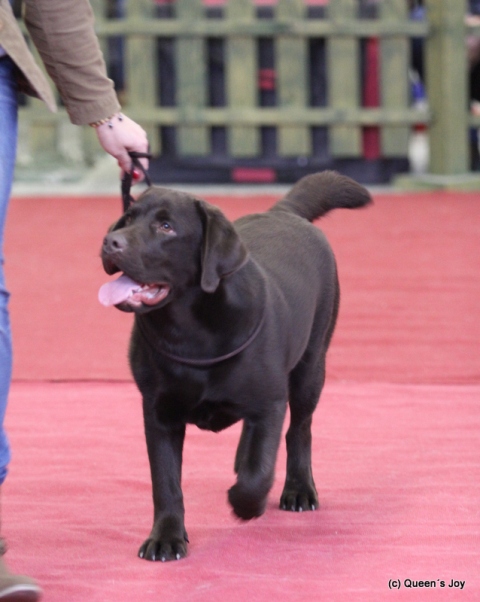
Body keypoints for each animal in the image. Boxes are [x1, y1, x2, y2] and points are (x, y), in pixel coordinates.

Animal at [99, 171, 371, 562]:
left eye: (166, 226)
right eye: (127, 219)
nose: (110, 242)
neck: (188, 330)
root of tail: (283, 211)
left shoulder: (270, 402)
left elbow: (259, 471)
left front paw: (246, 503)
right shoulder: (158, 412)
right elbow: (165, 481)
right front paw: (166, 537)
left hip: (311, 366)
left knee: (299, 429)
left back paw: (299, 488)